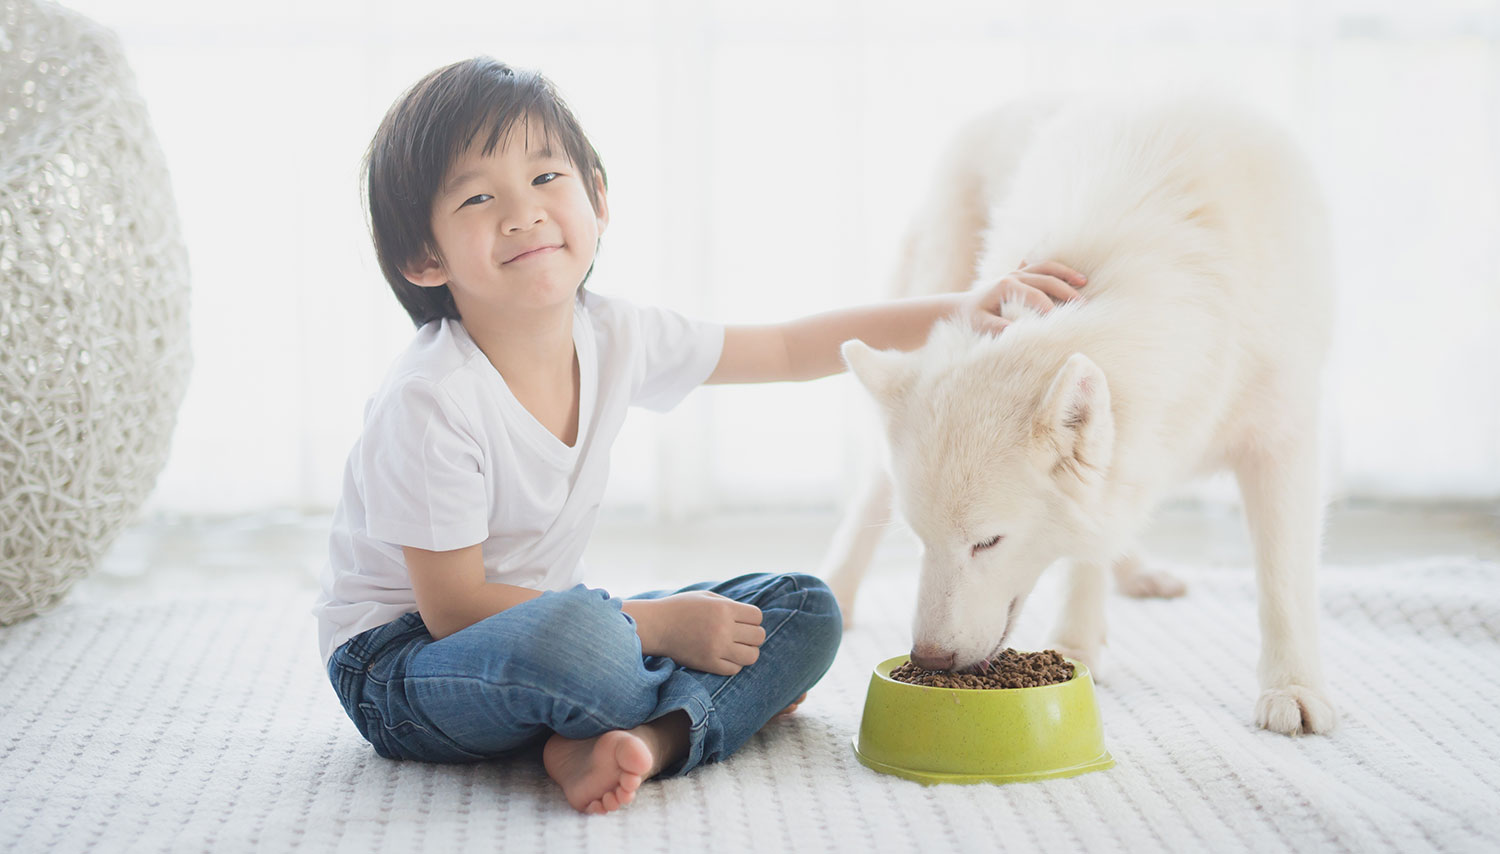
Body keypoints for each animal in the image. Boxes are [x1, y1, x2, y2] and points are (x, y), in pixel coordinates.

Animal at [834, 94, 1338, 732]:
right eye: (921, 539)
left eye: (987, 543)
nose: (928, 659)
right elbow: (1083, 554)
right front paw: (1074, 648)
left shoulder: (1282, 437)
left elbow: (1283, 582)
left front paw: (1293, 688)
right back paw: (836, 591)